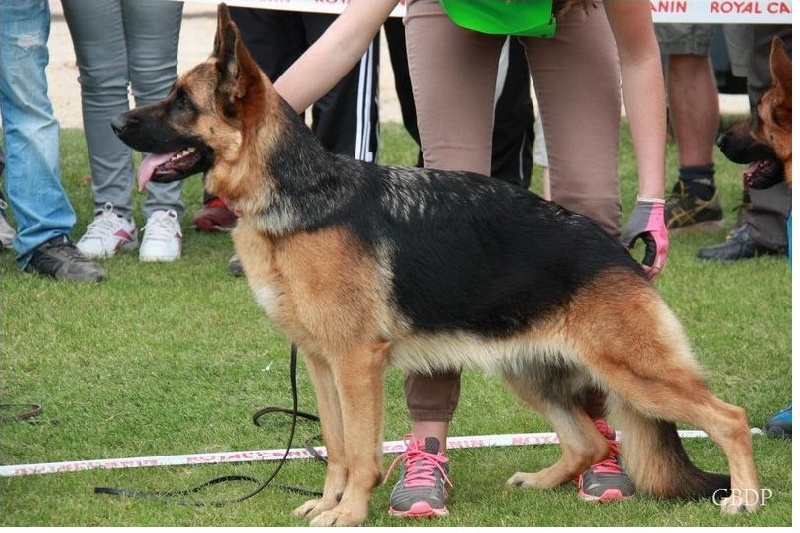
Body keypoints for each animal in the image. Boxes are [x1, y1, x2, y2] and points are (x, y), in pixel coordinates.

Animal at [109, 6, 760, 524]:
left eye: (181, 102)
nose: (116, 123)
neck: (300, 194)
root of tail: (619, 251)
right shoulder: (322, 364)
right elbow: (336, 446)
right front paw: (328, 503)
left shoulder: (356, 364)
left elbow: (362, 451)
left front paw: (349, 513)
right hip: (531, 371)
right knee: (589, 444)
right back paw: (544, 481)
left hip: (632, 372)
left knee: (728, 417)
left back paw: (746, 497)